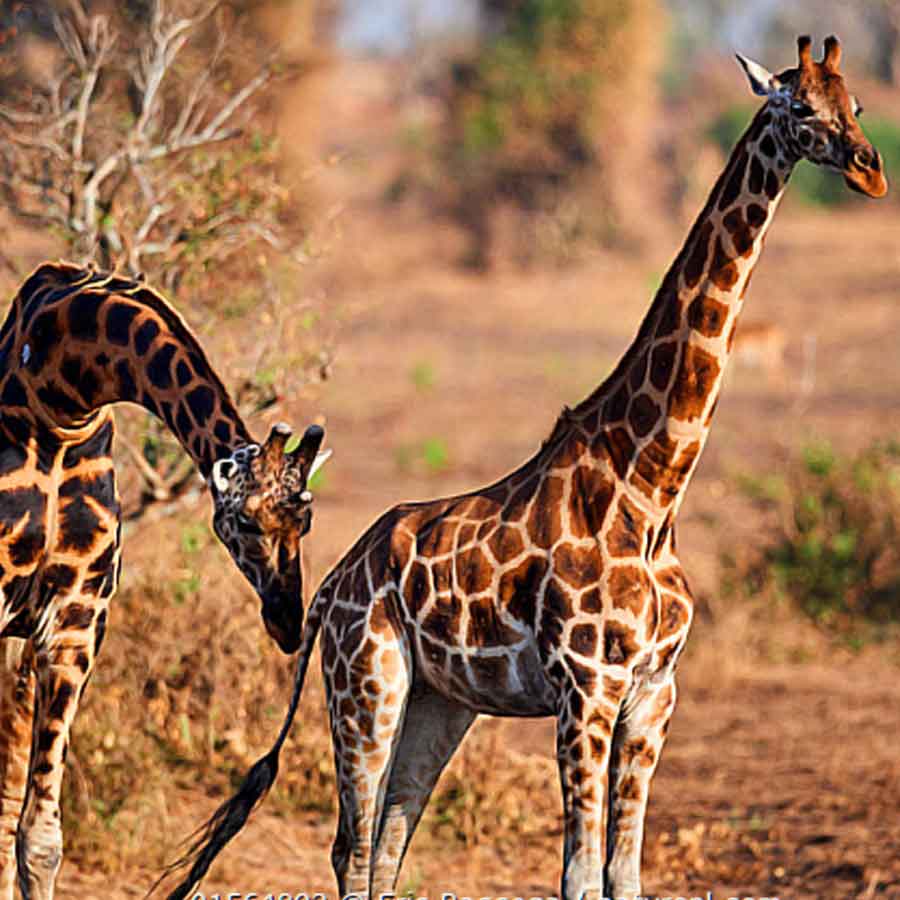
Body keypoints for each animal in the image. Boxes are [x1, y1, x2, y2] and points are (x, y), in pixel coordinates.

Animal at [0, 261, 329, 900]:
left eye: (305, 520)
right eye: (245, 521)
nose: (286, 620)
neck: (59, 397)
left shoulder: (74, 623)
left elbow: (39, 839)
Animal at [166, 35, 887, 900]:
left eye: (855, 103)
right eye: (799, 106)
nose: (870, 168)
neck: (653, 486)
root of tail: (328, 592)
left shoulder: (654, 695)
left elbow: (624, 874)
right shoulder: (586, 689)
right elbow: (577, 876)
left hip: (441, 702)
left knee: (389, 842)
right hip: (366, 684)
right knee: (351, 845)